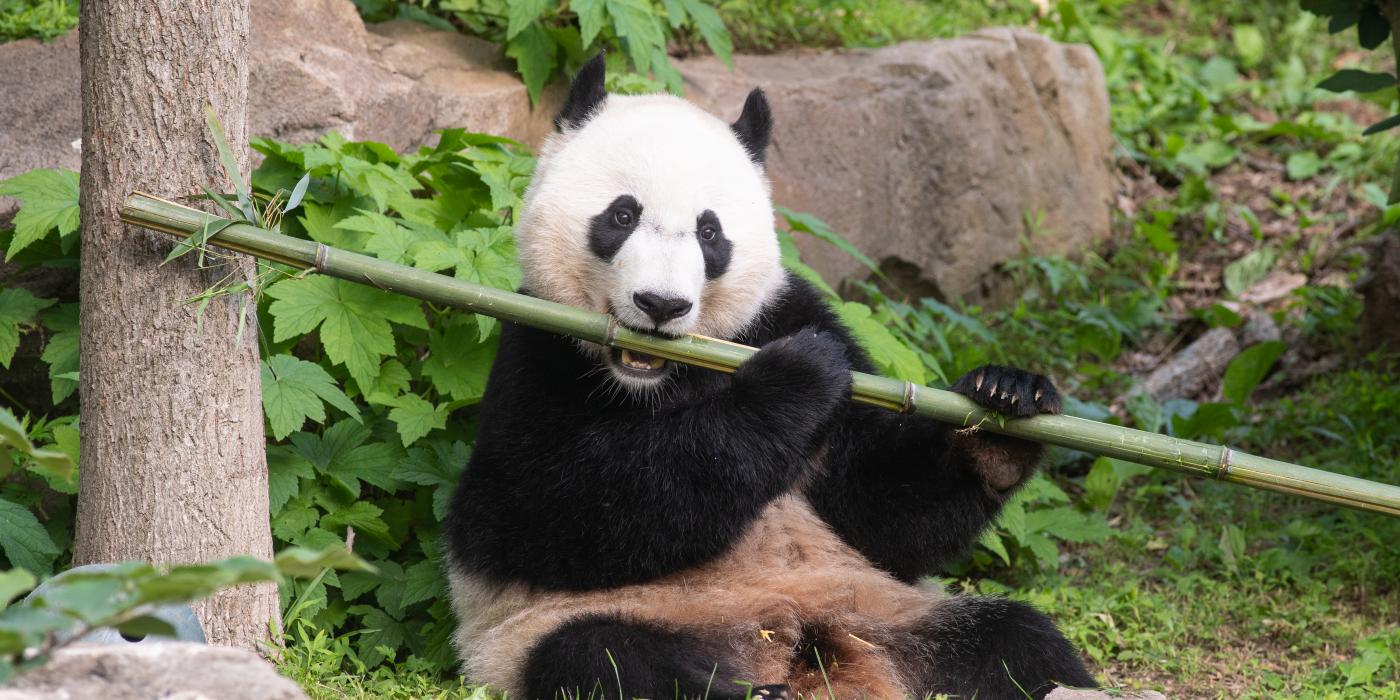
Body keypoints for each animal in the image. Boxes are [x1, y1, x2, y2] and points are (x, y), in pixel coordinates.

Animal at [442, 56, 1097, 700]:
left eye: (710, 233)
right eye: (622, 215)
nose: (661, 305)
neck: (668, 377)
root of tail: (805, 654)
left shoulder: (785, 312)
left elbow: (882, 514)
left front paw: (1004, 404)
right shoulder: (535, 350)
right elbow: (535, 513)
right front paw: (795, 380)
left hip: (890, 614)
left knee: (1016, 641)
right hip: (567, 633)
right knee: (600, 659)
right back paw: (742, 691)